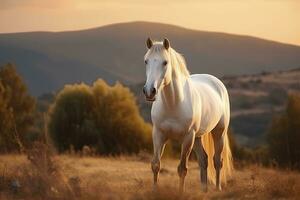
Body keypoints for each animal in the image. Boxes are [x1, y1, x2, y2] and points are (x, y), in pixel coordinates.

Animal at [144, 38, 234, 192]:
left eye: (165, 62)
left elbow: (182, 169)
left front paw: (180, 193)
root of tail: (216, 82)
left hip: (218, 132)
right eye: (146, 61)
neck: (174, 103)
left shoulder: (187, 138)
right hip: (197, 137)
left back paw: (217, 189)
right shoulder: (158, 134)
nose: (150, 91)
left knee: (217, 161)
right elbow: (156, 165)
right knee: (204, 160)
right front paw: (154, 192)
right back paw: (204, 190)